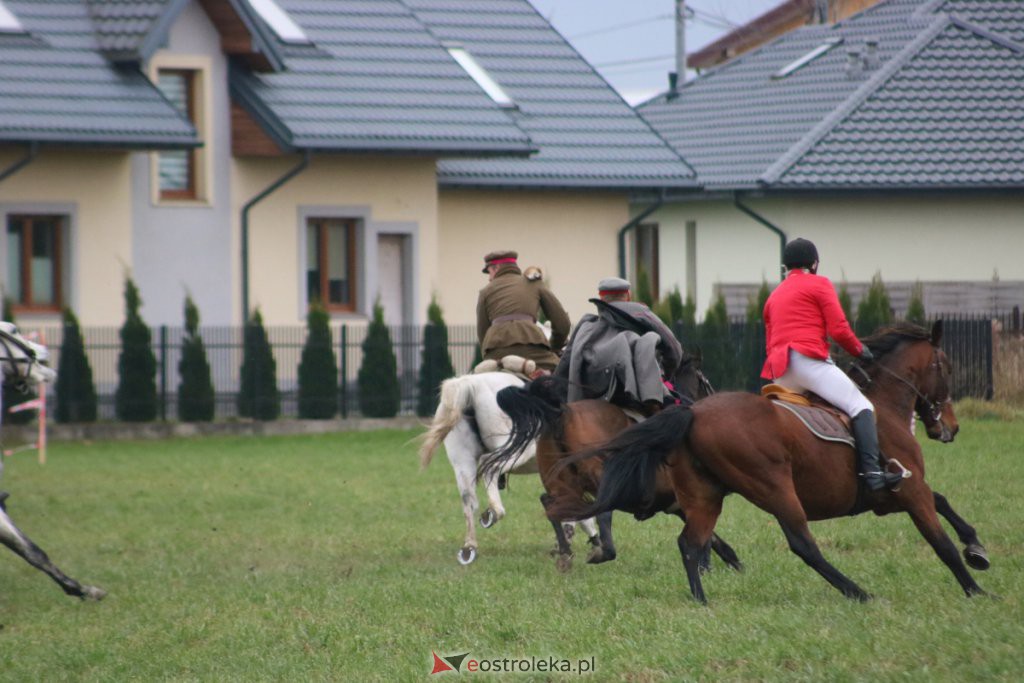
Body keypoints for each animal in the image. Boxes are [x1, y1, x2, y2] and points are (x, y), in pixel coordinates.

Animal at [419, 374, 598, 565]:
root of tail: (471, 383)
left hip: (462, 462)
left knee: (468, 500)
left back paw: (469, 548)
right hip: (518, 450)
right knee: (489, 466)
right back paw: (493, 512)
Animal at [483, 352, 741, 573]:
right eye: (704, 382)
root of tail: (563, 413)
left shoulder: (676, 505)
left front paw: (731, 561)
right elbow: (706, 535)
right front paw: (709, 565)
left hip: (562, 483)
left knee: (551, 503)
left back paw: (566, 554)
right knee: (600, 510)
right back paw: (602, 552)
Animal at [557, 321, 987, 602]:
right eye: (946, 367)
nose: (950, 427)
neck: (881, 406)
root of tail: (693, 413)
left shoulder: (893, 496)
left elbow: (944, 503)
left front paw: (976, 547)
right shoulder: (910, 490)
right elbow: (940, 541)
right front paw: (977, 589)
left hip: (706, 496)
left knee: (690, 544)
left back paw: (701, 601)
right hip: (776, 489)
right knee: (803, 546)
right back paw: (859, 593)